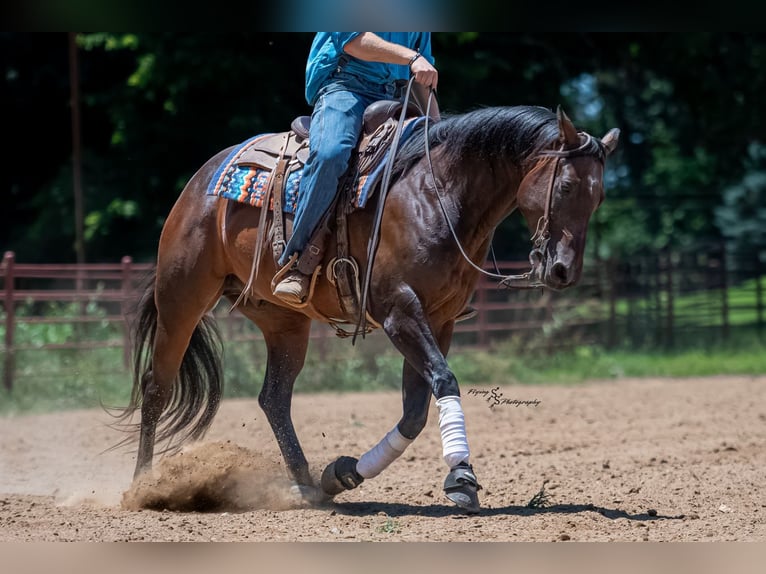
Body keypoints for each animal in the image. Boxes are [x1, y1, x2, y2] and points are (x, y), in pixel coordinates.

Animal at [116, 104, 619, 514]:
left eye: (600, 197)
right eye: (567, 185)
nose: (563, 271)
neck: (438, 194)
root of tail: (199, 182)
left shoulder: (439, 320)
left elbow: (416, 410)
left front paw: (342, 474)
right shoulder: (400, 310)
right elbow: (444, 381)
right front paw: (461, 478)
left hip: (283, 320)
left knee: (274, 397)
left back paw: (308, 486)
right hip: (181, 296)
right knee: (157, 386)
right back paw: (143, 486)